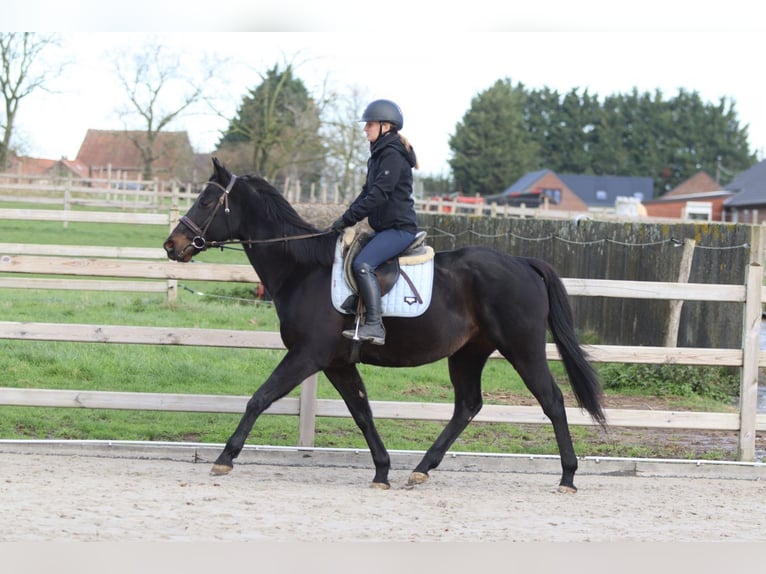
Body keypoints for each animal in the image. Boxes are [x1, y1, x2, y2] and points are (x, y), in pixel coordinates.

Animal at [163, 158, 606, 492]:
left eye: (206, 200)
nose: (172, 245)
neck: (303, 270)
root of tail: (525, 262)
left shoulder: (307, 356)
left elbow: (260, 398)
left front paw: (225, 458)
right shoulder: (337, 362)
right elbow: (362, 412)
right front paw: (381, 470)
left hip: (522, 348)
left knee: (552, 401)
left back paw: (568, 477)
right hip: (468, 353)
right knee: (467, 406)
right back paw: (422, 469)